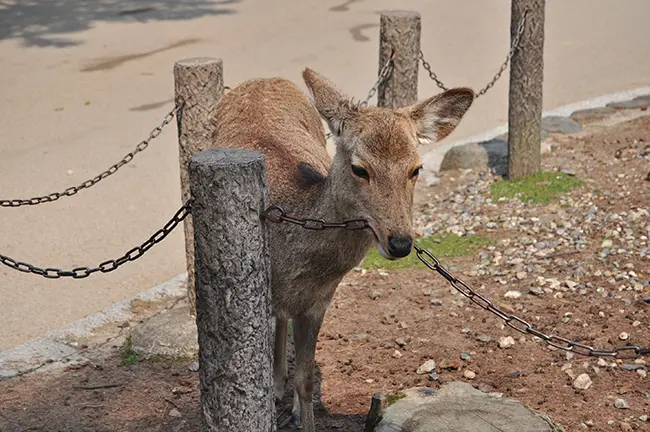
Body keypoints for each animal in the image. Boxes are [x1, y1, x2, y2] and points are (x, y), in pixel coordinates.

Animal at [210, 68, 474, 431]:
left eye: (416, 169)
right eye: (359, 168)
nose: (401, 242)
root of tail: (264, 79)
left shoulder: (321, 301)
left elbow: (306, 379)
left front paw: (301, 412)